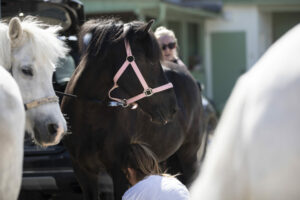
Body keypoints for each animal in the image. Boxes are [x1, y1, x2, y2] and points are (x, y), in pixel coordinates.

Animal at [61, 18, 206, 200]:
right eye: (150, 62)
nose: (173, 107)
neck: (89, 116)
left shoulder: (119, 172)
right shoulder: (83, 172)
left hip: (189, 155)